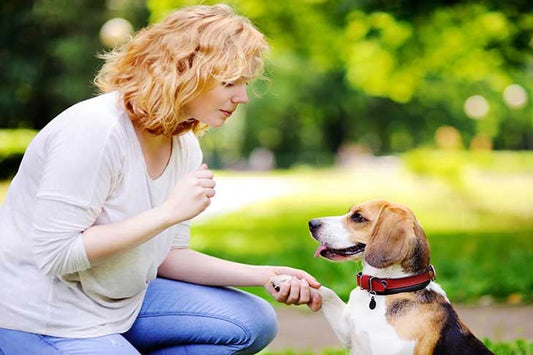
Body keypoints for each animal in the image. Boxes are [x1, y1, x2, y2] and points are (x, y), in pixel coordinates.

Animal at [274, 202, 490, 354]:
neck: (380, 293)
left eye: (358, 217)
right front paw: (287, 280)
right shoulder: (348, 333)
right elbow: (326, 291)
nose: (311, 223)